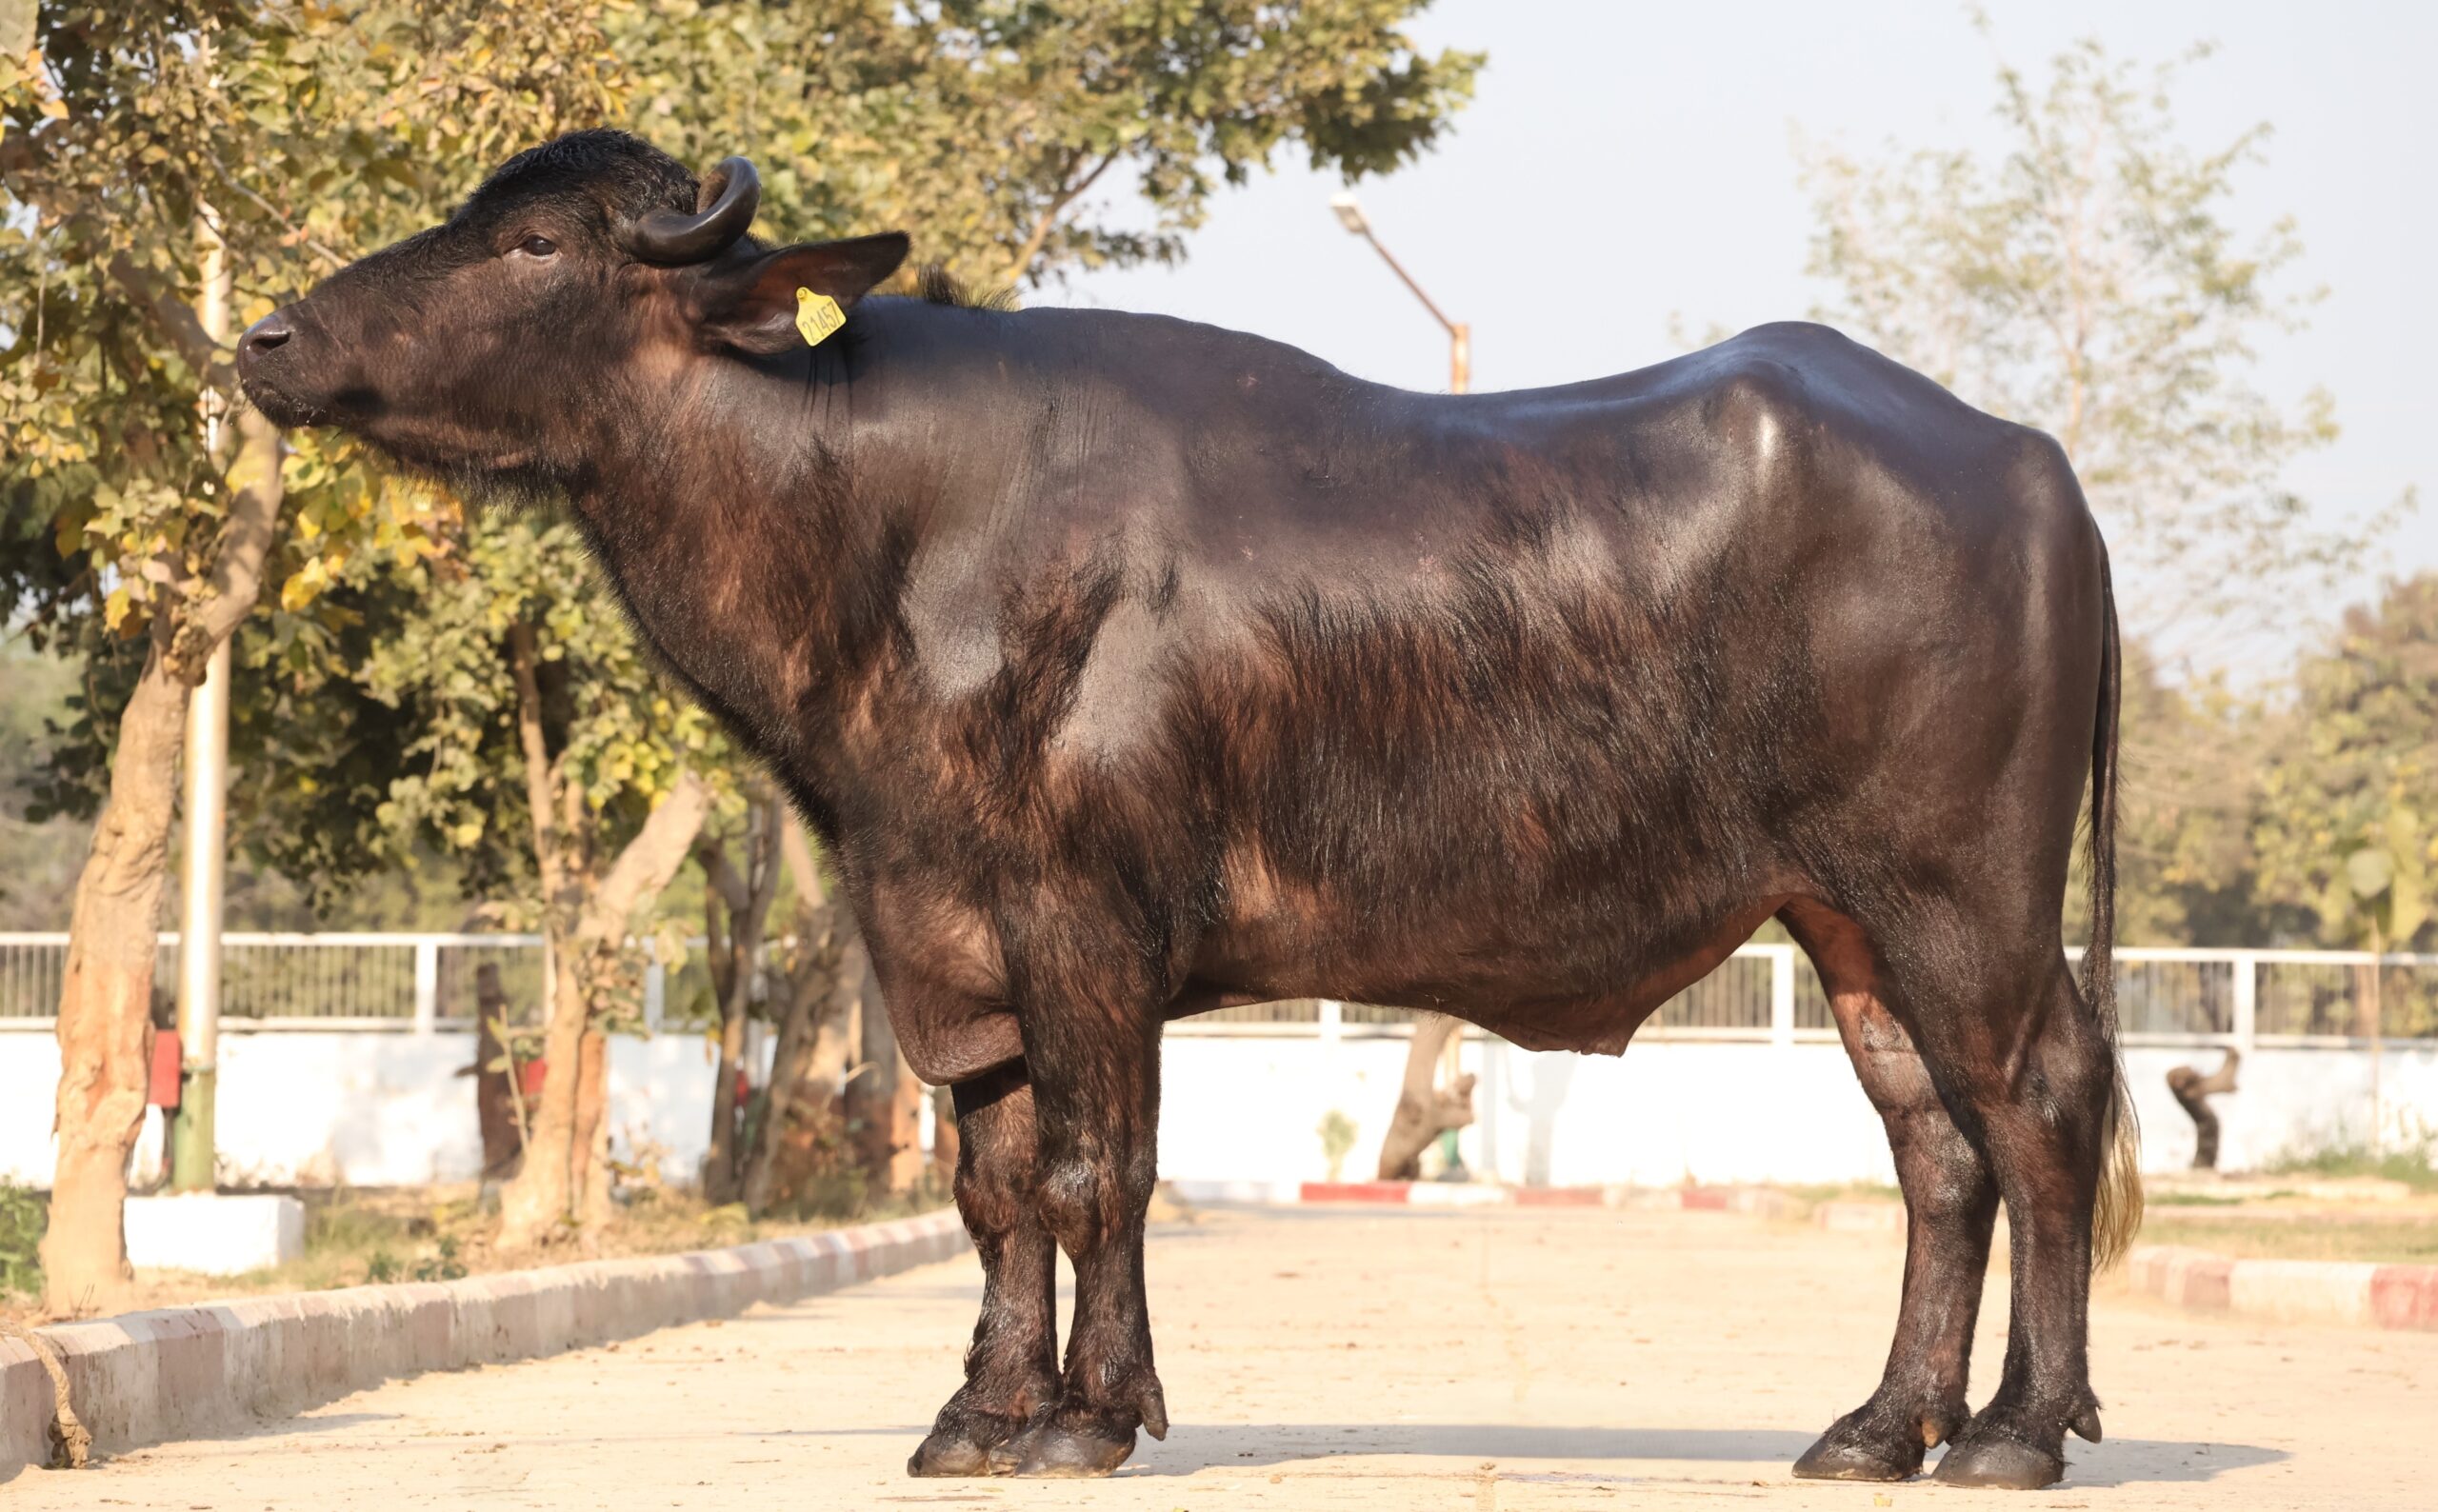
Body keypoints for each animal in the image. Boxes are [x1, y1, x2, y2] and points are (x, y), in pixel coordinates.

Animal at [236, 130, 2141, 1489]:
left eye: (539, 244)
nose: (268, 335)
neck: (888, 521)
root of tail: (2027, 459)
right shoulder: (941, 924)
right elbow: (993, 1182)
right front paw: (979, 1414)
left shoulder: (1085, 926)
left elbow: (1098, 1169)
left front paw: (1094, 1411)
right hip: (1844, 916)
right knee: (1938, 1149)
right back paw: (1882, 1426)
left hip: (1961, 893)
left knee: (2043, 1105)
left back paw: (2016, 1431)